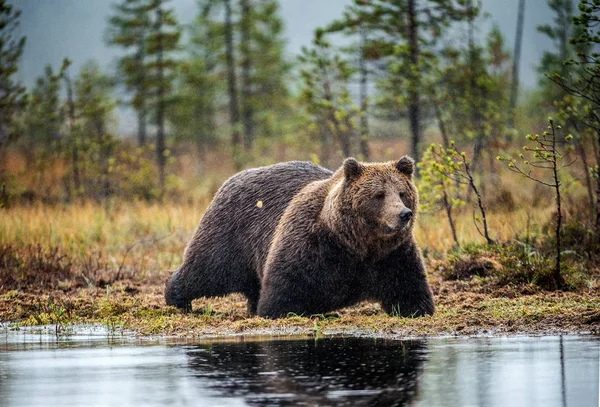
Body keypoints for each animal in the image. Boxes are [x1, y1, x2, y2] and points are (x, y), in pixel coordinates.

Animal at [165, 158, 436, 320]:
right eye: (379, 195)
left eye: (402, 192)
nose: (403, 214)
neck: (356, 245)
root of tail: (228, 180)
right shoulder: (309, 245)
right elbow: (285, 291)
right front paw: (274, 311)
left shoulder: (392, 256)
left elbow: (409, 289)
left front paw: (417, 309)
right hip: (230, 233)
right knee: (205, 270)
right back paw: (177, 298)